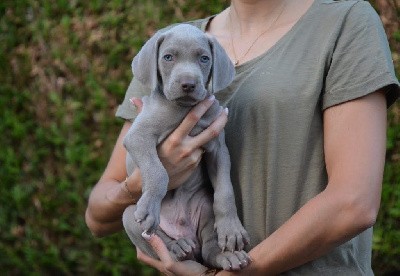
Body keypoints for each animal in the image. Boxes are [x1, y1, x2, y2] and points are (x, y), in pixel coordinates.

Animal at [123, 23, 250, 270]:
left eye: (204, 58)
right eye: (168, 57)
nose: (188, 84)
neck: (183, 109)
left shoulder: (217, 148)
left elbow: (225, 189)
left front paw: (231, 228)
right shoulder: (138, 135)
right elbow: (158, 172)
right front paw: (151, 205)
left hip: (205, 206)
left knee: (209, 250)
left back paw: (226, 256)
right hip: (128, 216)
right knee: (158, 238)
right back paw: (177, 246)